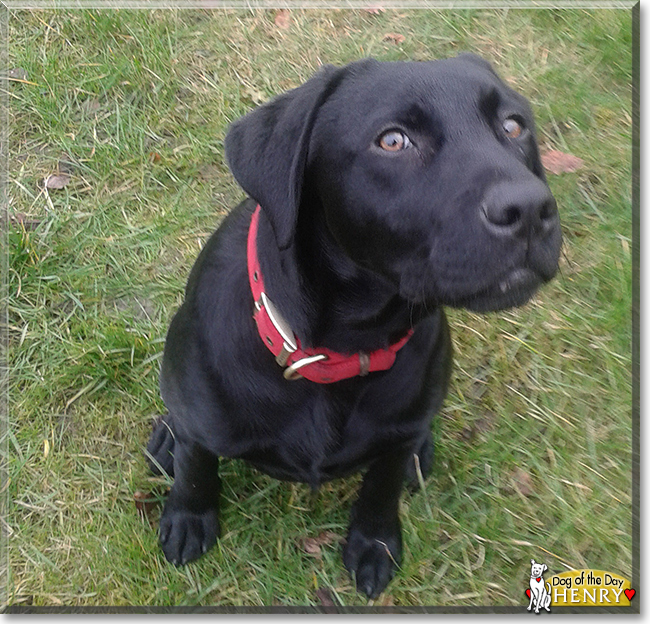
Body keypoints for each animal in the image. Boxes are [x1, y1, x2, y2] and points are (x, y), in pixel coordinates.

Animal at [147, 54, 556, 600]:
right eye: (393, 140)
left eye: (513, 126)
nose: (531, 208)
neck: (338, 350)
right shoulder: (203, 423)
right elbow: (196, 469)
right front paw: (189, 519)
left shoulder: (394, 437)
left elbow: (380, 490)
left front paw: (375, 544)